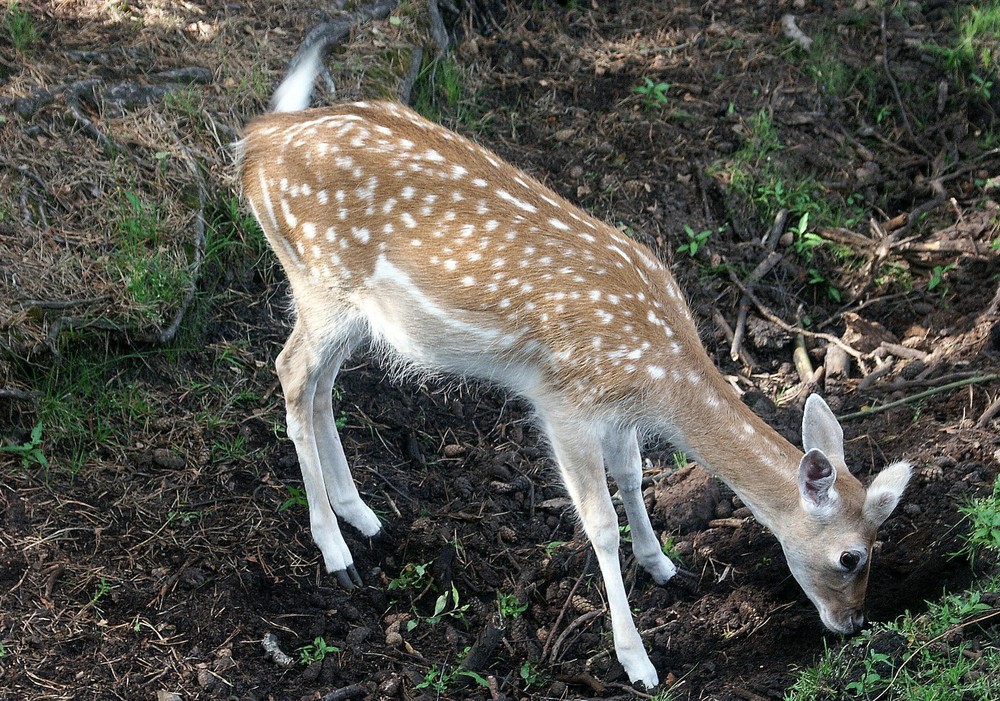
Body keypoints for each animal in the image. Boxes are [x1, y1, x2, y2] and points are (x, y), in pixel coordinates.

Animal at [238, 45, 912, 688]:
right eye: (852, 556)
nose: (852, 623)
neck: (660, 371)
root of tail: (255, 143)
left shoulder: (615, 411)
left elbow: (635, 478)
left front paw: (664, 565)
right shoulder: (563, 404)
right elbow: (600, 524)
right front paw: (636, 660)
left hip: (347, 309)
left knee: (321, 387)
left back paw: (362, 516)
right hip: (319, 281)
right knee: (290, 371)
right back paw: (336, 553)